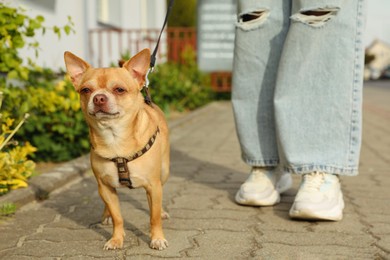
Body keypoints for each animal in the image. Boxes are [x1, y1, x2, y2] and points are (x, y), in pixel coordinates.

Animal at [63, 48, 169, 250]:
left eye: (119, 89)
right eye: (86, 90)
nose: (99, 98)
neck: (114, 139)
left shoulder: (154, 185)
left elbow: (153, 217)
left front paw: (157, 237)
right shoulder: (105, 187)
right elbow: (117, 216)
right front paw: (116, 239)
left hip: (164, 172)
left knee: (156, 201)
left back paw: (162, 211)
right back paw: (106, 216)